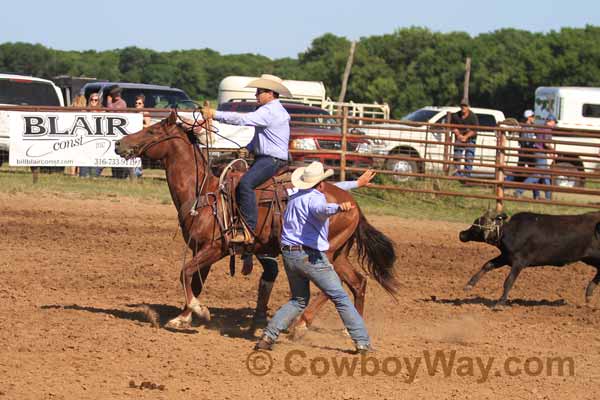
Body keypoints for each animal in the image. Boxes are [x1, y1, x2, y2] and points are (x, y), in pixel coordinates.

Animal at [116, 110, 398, 332]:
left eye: (152, 131)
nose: (119, 143)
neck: (203, 192)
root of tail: (353, 205)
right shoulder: (199, 249)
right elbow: (194, 280)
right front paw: (184, 317)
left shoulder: (215, 248)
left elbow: (184, 273)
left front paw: (199, 311)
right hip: (339, 254)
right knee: (357, 282)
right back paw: (350, 327)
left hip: (323, 253)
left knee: (332, 286)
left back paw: (301, 324)